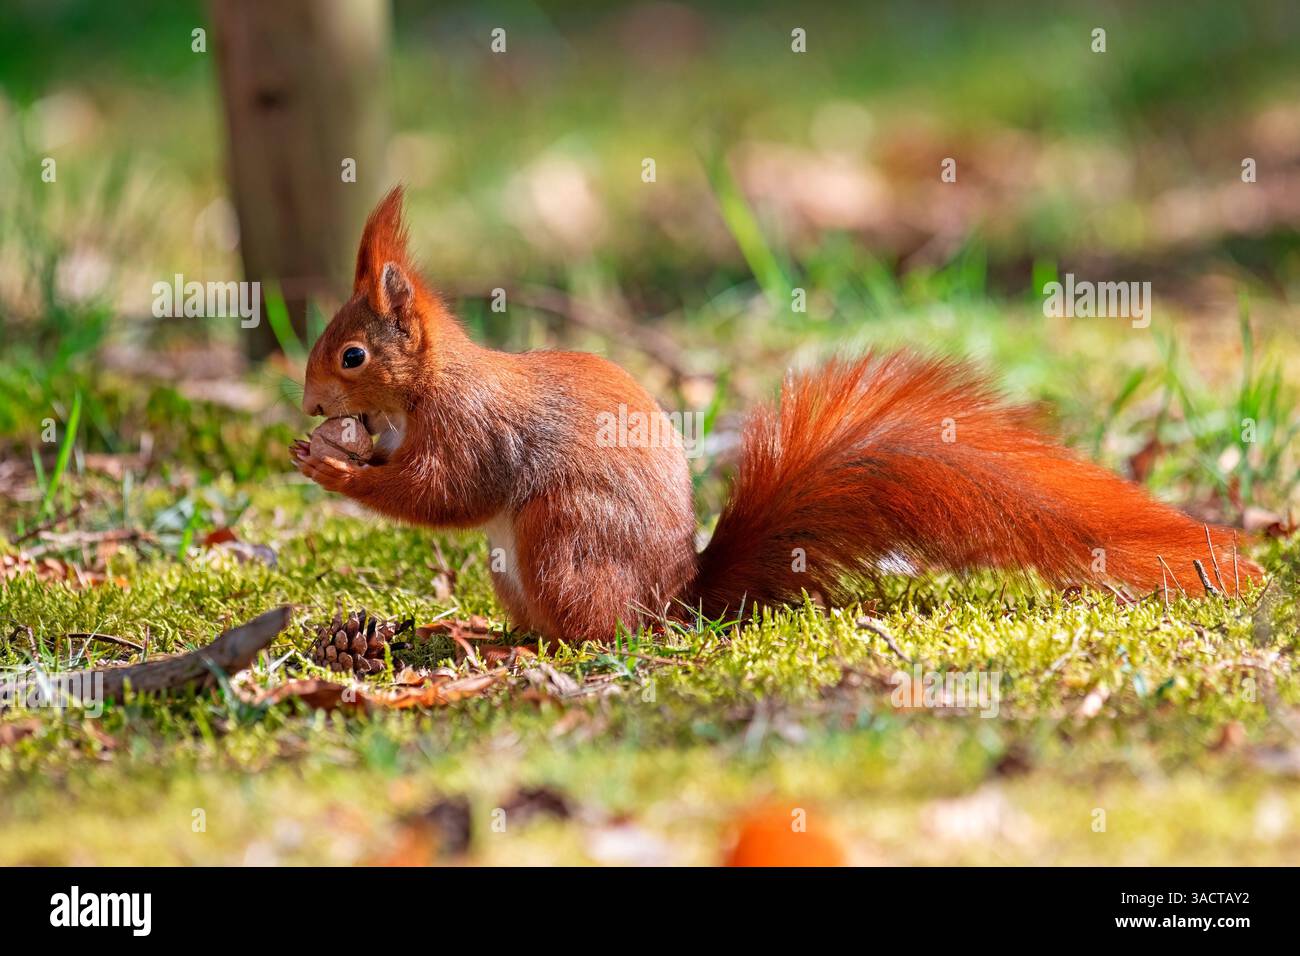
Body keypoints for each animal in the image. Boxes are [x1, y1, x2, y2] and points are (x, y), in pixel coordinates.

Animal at [292, 187, 1262, 642]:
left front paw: (328, 462)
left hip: (564, 535)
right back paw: (475, 631)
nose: (308, 405)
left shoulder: (473, 431)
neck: (425, 388)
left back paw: (510, 648)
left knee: (587, 635)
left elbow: (442, 494)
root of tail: (675, 603)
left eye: (351, 355)